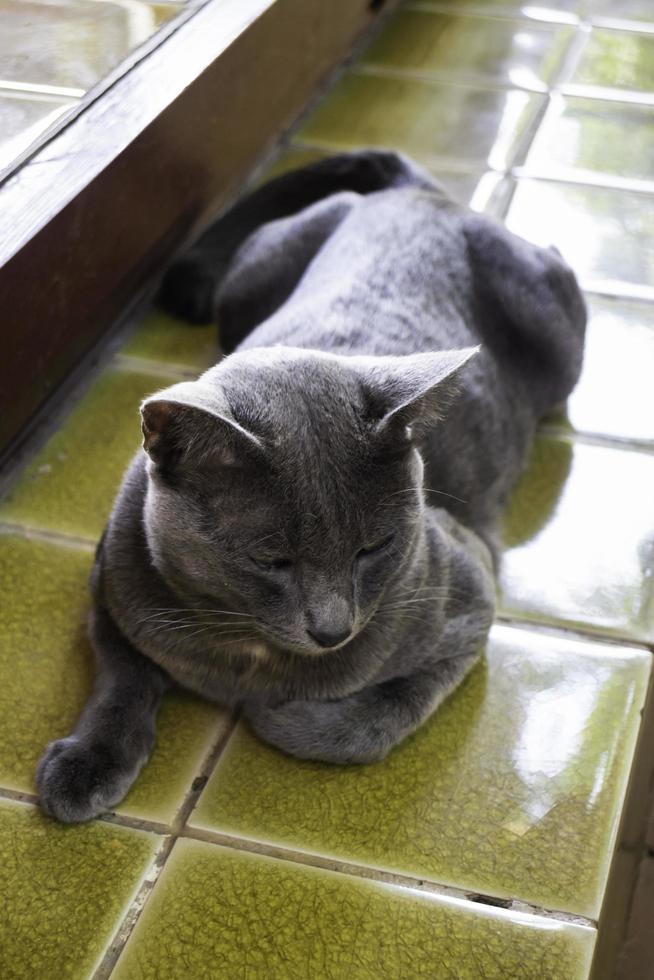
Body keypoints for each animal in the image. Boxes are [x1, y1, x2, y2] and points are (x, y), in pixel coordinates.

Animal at [37, 149, 588, 820]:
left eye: (375, 547)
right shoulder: (109, 589)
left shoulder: (470, 598)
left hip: (560, 341)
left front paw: (276, 713)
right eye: (268, 558)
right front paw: (86, 764)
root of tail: (421, 196)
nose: (332, 630)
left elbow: (365, 722)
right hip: (240, 288)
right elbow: (123, 675)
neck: (247, 650)